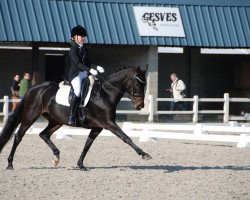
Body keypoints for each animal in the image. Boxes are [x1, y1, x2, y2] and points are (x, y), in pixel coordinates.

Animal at [0, 66, 152, 170]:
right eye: (137, 84)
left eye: (145, 84)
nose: (140, 105)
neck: (105, 94)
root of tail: (33, 88)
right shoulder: (108, 123)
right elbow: (126, 137)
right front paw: (144, 154)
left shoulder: (98, 127)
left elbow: (87, 145)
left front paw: (80, 164)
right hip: (30, 116)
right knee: (18, 136)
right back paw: (10, 164)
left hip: (56, 121)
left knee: (44, 134)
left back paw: (56, 156)